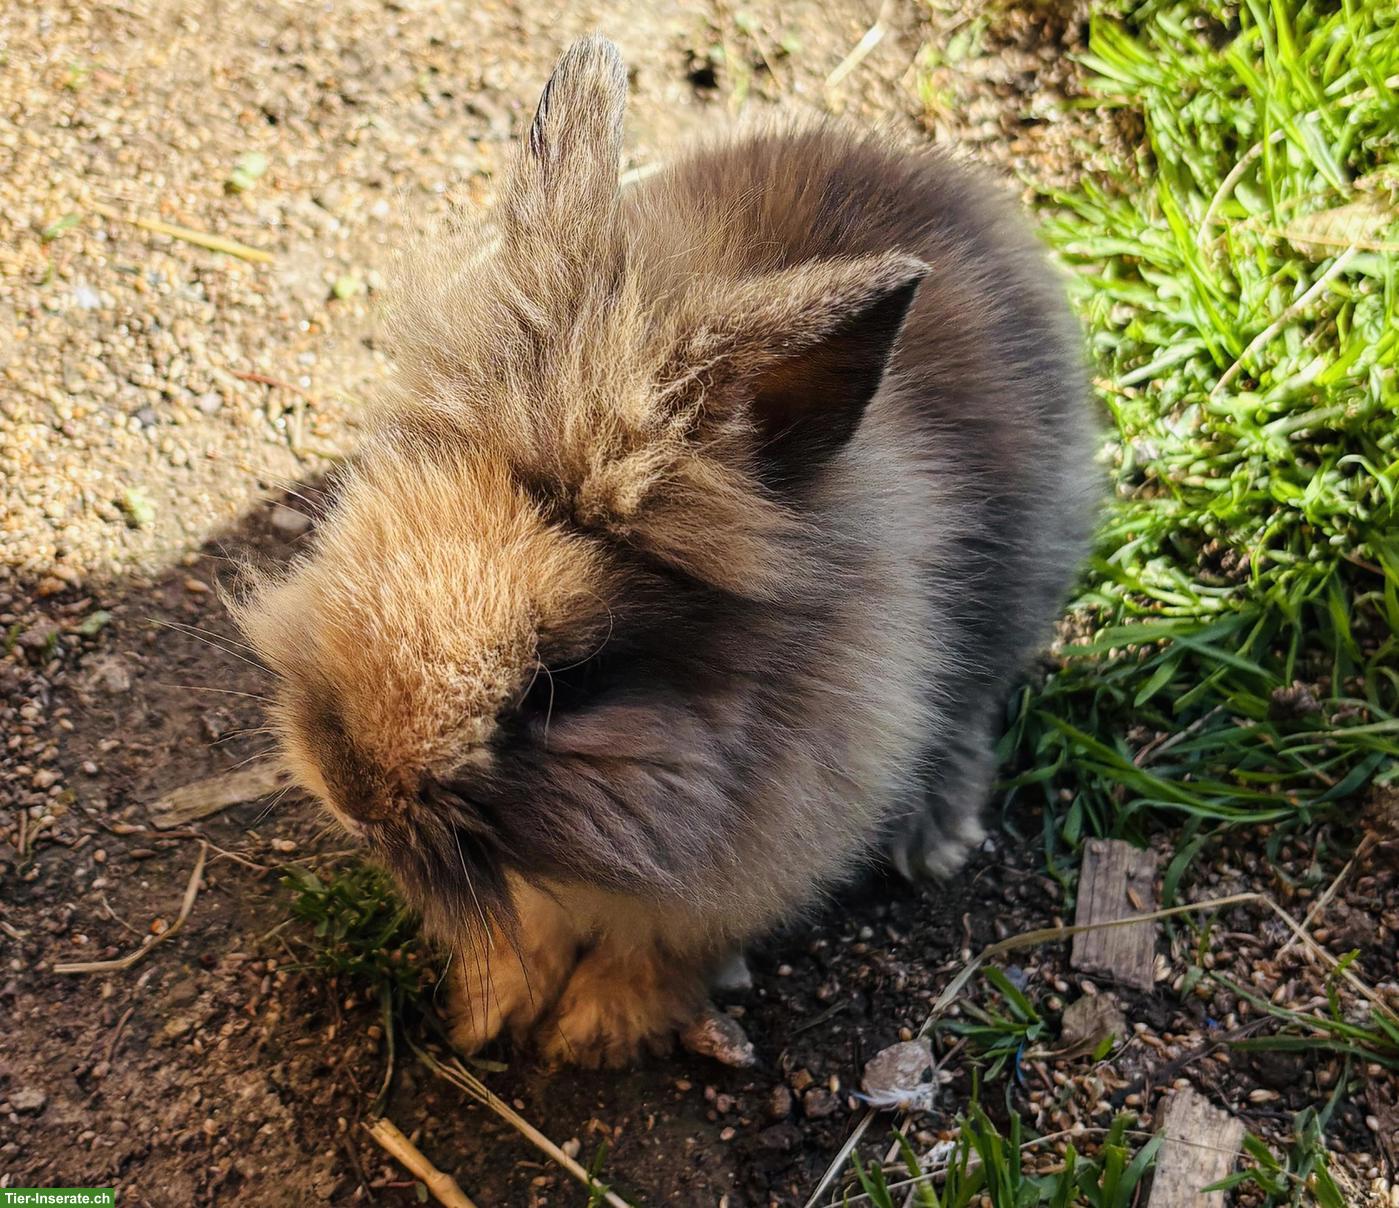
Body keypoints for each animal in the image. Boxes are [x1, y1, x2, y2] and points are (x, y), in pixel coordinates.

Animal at [233, 36, 1099, 1068]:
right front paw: (496, 1005)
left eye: (561, 684)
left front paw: (594, 1032)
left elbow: (656, 947)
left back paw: (933, 837)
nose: (352, 794)